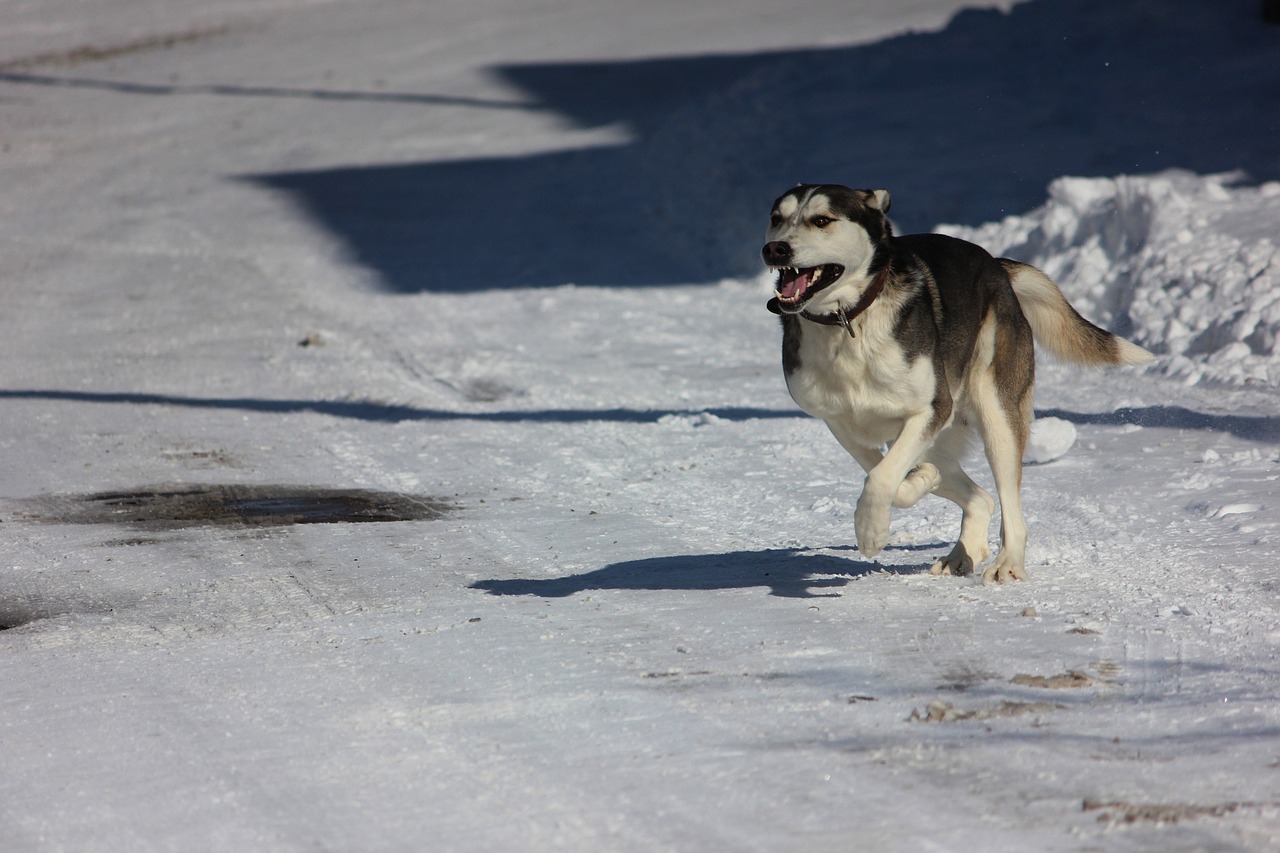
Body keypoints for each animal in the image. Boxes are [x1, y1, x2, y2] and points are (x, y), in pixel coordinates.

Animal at [757, 185, 1152, 581]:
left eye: (822, 220)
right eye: (776, 218)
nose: (775, 249)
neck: (849, 321)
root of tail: (996, 265)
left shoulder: (932, 408)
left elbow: (882, 478)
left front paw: (871, 531)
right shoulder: (842, 422)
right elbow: (887, 474)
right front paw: (920, 481)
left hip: (996, 416)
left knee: (1007, 502)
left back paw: (1007, 562)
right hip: (932, 435)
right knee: (980, 497)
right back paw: (963, 549)